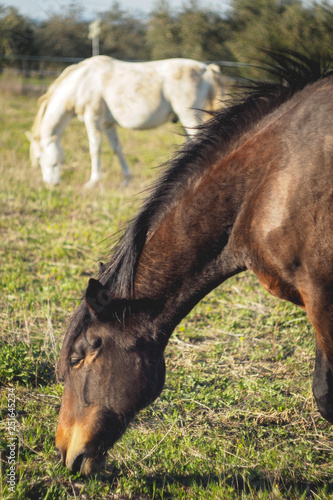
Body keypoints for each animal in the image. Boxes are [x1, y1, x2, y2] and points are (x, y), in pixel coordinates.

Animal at [26, 55, 223, 188]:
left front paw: (93, 182)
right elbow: (117, 149)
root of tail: (206, 69)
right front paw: (126, 180)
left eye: (40, 158)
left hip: (189, 116)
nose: (51, 183)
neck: (81, 82)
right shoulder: (107, 125)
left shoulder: (93, 119)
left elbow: (95, 149)